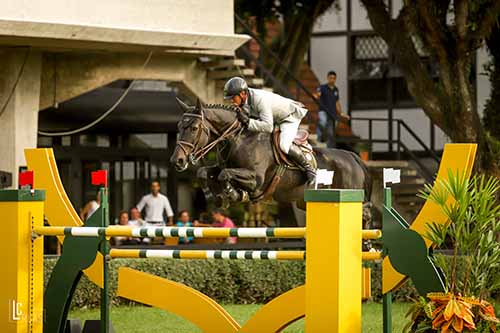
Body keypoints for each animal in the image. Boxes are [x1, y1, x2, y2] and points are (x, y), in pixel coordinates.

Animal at [170, 97, 374, 224]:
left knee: (365, 213)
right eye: (179, 126)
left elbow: (225, 175)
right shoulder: (220, 167)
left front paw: (233, 194)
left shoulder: (256, 180)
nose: (177, 160)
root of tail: (353, 157)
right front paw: (216, 198)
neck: (238, 138)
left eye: (194, 128)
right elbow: (204, 172)